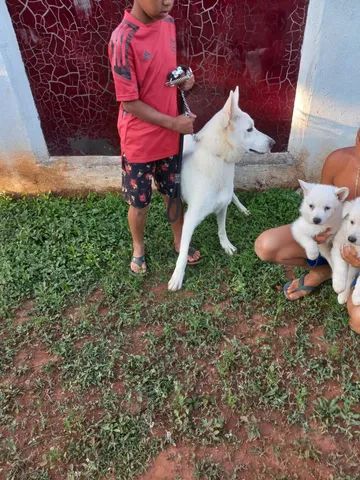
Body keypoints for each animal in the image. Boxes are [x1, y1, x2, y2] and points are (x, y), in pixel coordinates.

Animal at [167, 86, 274, 290]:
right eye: (249, 129)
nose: (273, 143)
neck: (218, 159)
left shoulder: (222, 207)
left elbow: (222, 230)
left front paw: (226, 245)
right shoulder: (190, 219)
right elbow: (183, 252)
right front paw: (177, 276)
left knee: (233, 195)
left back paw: (242, 209)